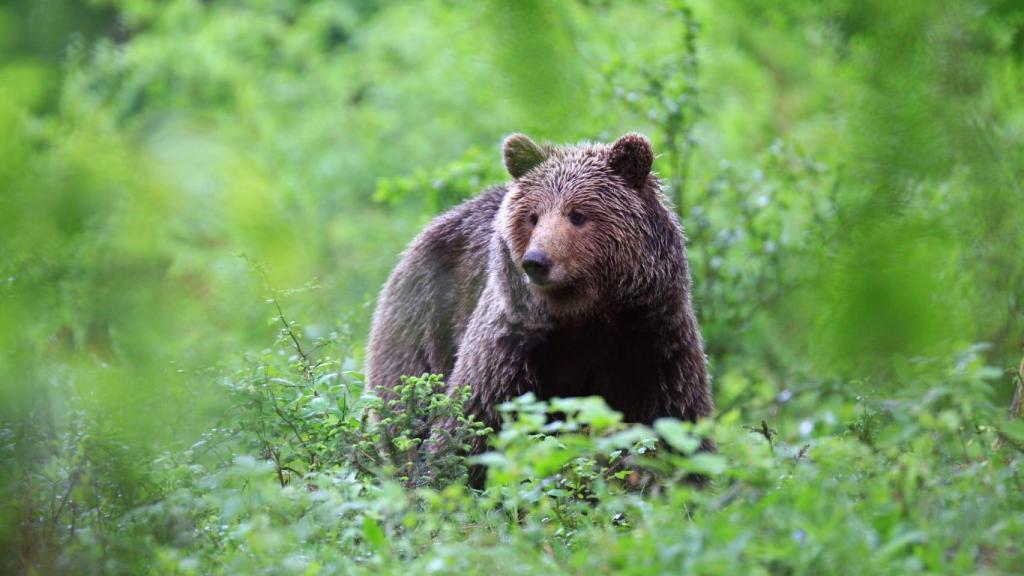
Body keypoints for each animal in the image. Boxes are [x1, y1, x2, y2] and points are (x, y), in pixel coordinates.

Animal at [366, 133, 713, 457]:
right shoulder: (512, 347)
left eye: (577, 214)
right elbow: (472, 427)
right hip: (424, 325)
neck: (584, 315)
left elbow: (675, 425)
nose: (536, 261)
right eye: (533, 216)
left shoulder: (654, 343)